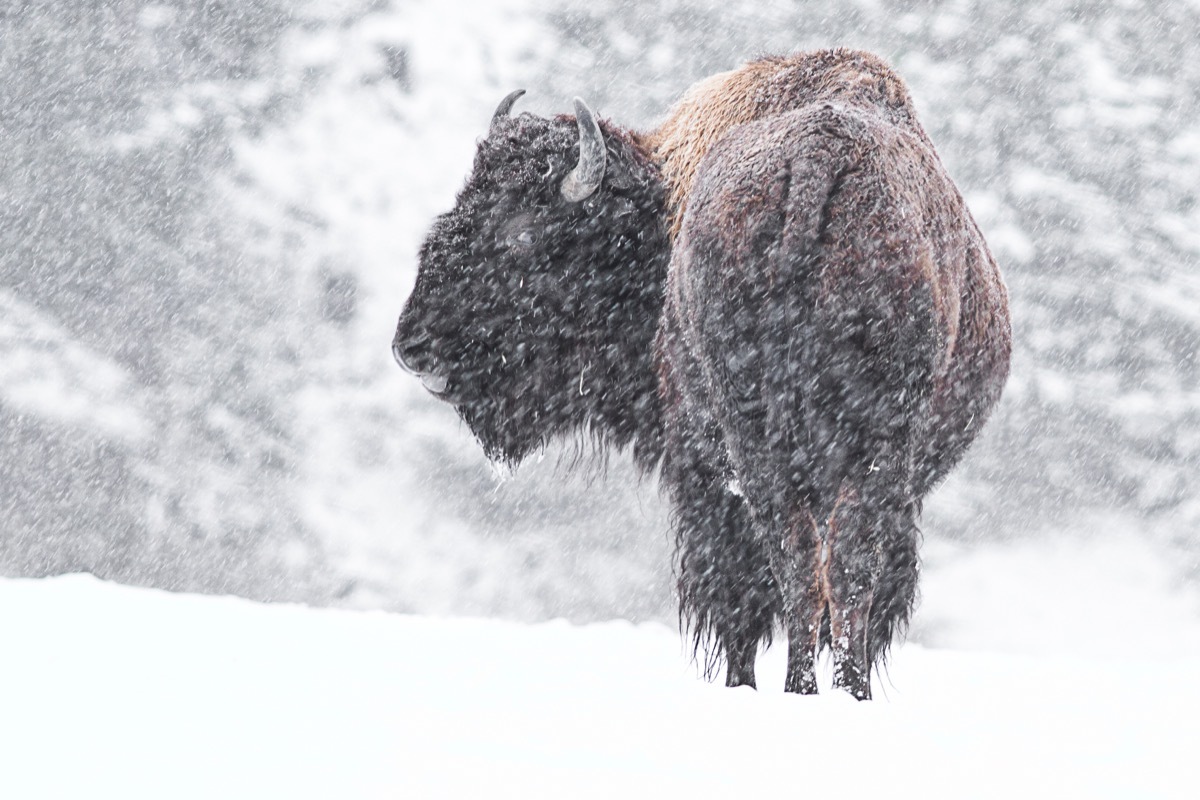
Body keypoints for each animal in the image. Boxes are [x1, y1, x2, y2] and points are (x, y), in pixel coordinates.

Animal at [393, 49, 1011, 699]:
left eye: (521, 233)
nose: (412, 347)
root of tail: (820, 155)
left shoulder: (699, 471)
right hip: (872, 449)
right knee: (840, 572)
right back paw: (844, 691)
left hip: (760, 447)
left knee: (794, 566)